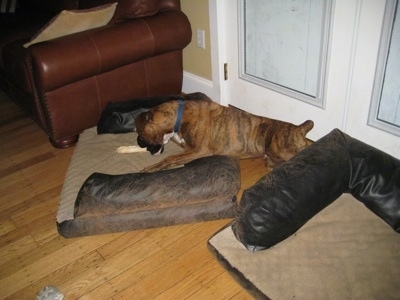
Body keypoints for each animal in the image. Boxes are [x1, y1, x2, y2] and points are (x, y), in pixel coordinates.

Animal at [126, 99, 314, 172]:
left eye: (140, 135)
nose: (139, 143)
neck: (178, 117)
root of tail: (299, 128)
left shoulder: (199, 149)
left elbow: (169, 158)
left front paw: (150, 168)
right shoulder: (188, 149)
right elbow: (173, 159)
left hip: (280, 150)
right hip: (272, 159)